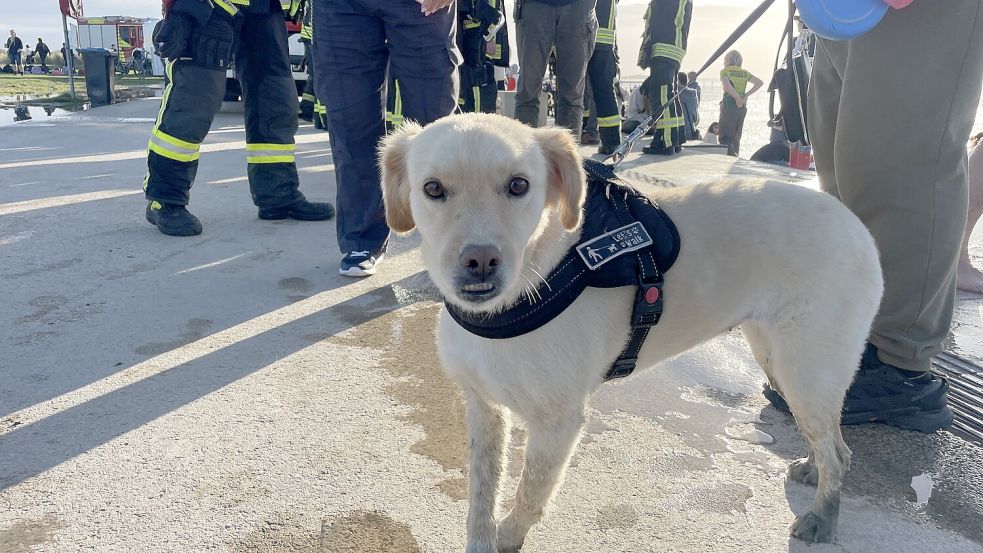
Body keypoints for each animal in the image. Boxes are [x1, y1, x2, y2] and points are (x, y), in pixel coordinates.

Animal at [378, 113, 884, 552]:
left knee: (838, 452)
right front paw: (480, 538)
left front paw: (507, 537)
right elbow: (481, 495)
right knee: (834, 443)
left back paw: (822, 516)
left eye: (519, 185)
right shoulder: (483, 406)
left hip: (807, 369)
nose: (480, 261)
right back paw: (812, 470)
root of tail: (853, 223)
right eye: (433, 189)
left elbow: (530, 493)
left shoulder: (558, 424)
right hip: (777, 358)